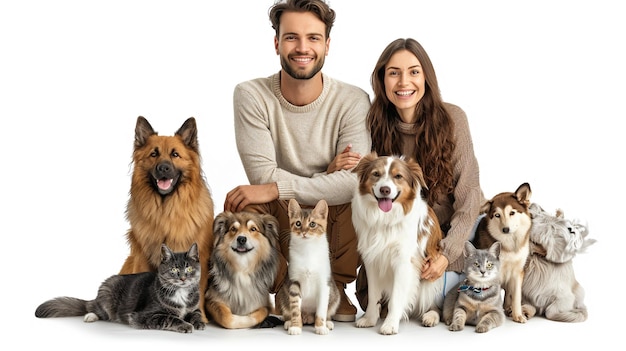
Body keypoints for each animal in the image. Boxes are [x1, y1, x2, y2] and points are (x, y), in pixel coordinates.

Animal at [35, 243, 205, 334]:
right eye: (174, 270)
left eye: (189, 269)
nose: (183, 278)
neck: (181, 293)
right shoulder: (144, 316)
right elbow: (169, 318)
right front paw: (186, 325)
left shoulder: (194, 307)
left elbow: (196, 314)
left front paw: (198, 323)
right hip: (108, 296)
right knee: (93, 308)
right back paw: (90, 316)